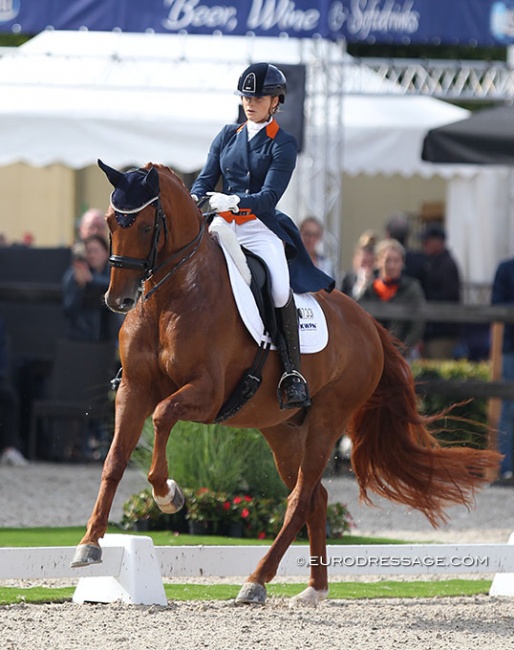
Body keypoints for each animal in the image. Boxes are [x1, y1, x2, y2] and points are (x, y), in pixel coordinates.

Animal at [71, 160, 500, 606]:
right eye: (110, 222)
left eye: (143, 225)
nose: (118, 300)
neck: (170, 297)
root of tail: (368, 323)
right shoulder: (133, 388)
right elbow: (114, 460)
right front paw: (90, 545)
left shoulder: (206, 394)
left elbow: (161, 416)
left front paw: (168, 494)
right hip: (280, 428)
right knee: (315, 496)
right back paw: (314, 588)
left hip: (327, 420)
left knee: (300, 497)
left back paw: (257, 581)